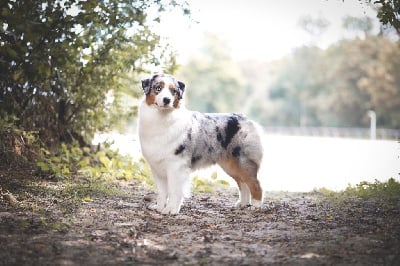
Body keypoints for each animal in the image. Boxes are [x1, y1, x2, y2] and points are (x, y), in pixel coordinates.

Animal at [138, 72, 262, 214]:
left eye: (173, 91)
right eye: (158, 88)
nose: (167, 100)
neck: (162, 118)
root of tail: (248, 120)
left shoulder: (176, 166)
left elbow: (174, 191)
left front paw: (171, 210)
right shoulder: (157, 167)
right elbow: (162, 192)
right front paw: (159, 207)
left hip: (244, 161)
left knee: (255, 184)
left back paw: (256, 206)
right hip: (231, 165)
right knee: (243, 183)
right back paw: (242, 204)